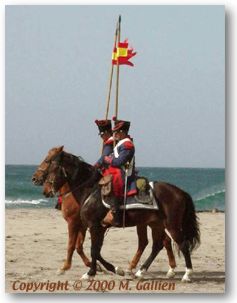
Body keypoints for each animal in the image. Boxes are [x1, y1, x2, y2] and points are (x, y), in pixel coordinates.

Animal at [42, 148, 200, 284]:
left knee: (182, 244)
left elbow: (93, 250)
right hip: (156, 224)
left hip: (172, 225)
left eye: (52, 166)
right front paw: (116, 269)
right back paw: (140, 272)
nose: (47, 190)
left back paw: (187, 274)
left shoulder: (94, 226)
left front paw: (90, 273)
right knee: (157, 245)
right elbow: (96, 251)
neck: (91, 191)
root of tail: (180, 192)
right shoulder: (99, 228)